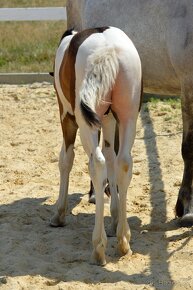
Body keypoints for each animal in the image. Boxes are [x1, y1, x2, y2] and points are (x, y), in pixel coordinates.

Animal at [50, 26, 142, 266]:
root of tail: (107, 48)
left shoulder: (67, 116)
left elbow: (66, 159)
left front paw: (59, 213)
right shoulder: (108, 119)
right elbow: (111, 157)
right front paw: (115, 217)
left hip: (84, 123)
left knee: (97, 164)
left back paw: (98, 246)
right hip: (128, 116)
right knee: (123, 163)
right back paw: (123, 239)